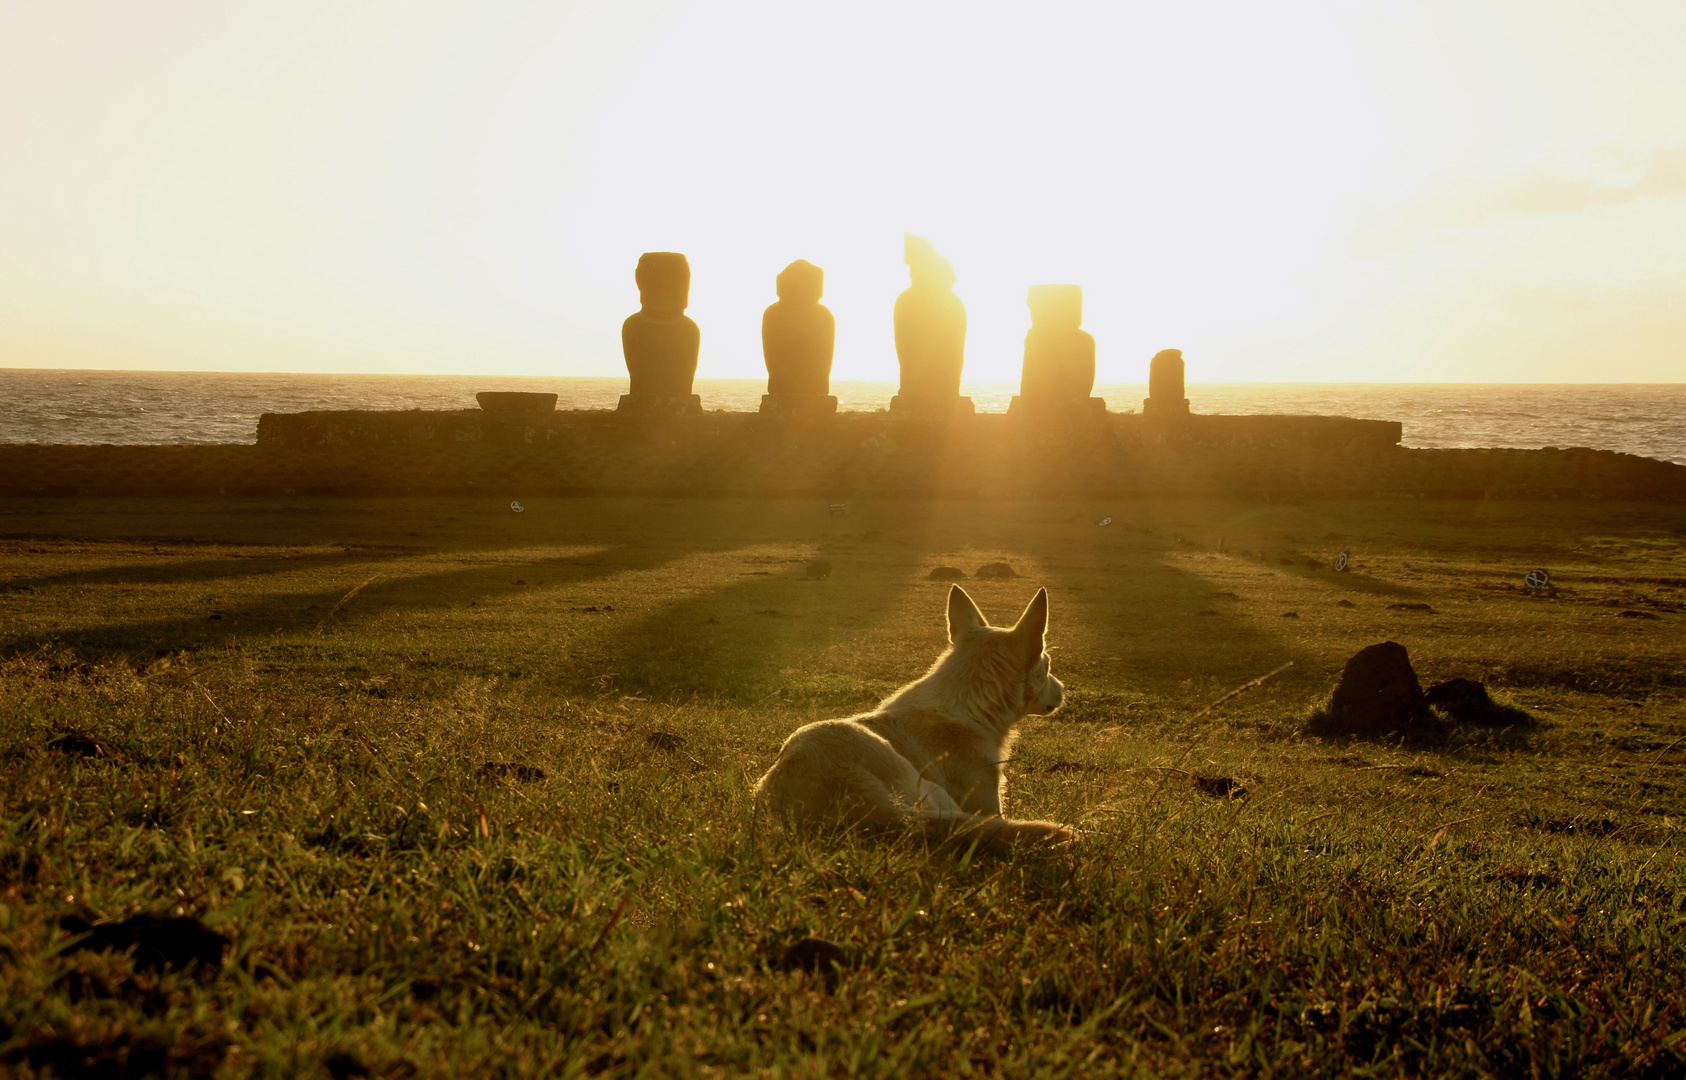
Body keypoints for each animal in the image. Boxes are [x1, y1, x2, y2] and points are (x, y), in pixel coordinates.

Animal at [755, 579, 1072, 849]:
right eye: (1047, 665)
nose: (1063, 689)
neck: (969, 706)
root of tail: (851, 788)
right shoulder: (987, 804)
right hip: (935, 795)